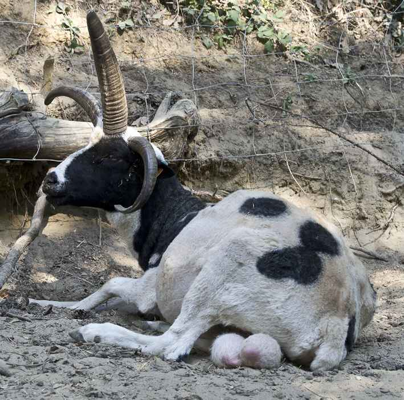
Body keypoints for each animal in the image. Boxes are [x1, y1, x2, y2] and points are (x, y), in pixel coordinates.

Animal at [31, 11, 376, 371]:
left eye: (109, 156)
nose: (51, 180)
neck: (177, 219)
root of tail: (336, 324)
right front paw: (52, 302)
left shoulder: (150, 287)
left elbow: (111, 283)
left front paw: (57, 305)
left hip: (222, 270)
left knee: (173, 343)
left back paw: (97, 332)